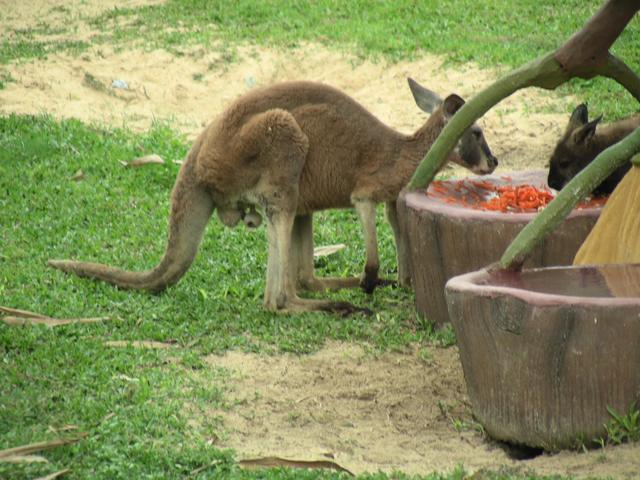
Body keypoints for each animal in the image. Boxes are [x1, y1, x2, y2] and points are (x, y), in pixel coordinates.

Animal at [48, 78, 498, 315]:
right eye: (476, 132)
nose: (494, 162)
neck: (408, 152)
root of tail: (199, 152)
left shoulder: (395, 196)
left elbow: (398, 231)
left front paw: (402, 280)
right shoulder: (368, 190)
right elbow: (367, 219)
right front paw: (373, 278)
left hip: (297, 200)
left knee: (303, 277)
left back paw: (351, 290)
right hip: (281, 148)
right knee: (278, 298)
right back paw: (344, 303)